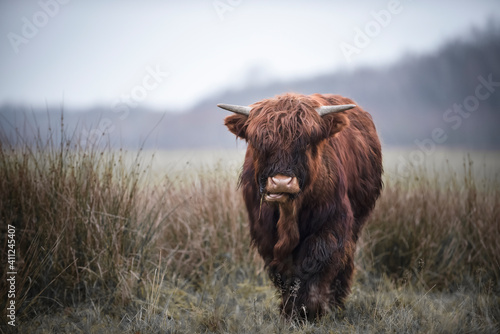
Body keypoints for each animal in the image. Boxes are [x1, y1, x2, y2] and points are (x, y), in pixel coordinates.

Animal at [219, 92, 382, 320]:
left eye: (306, 143)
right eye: (259, 143)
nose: (281, 182)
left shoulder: (332, 222)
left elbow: (316, 260)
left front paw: (310, 309)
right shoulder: (264, 232)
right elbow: (283, 271)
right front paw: (289, 309)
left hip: (357, 220)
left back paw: (337, 302)